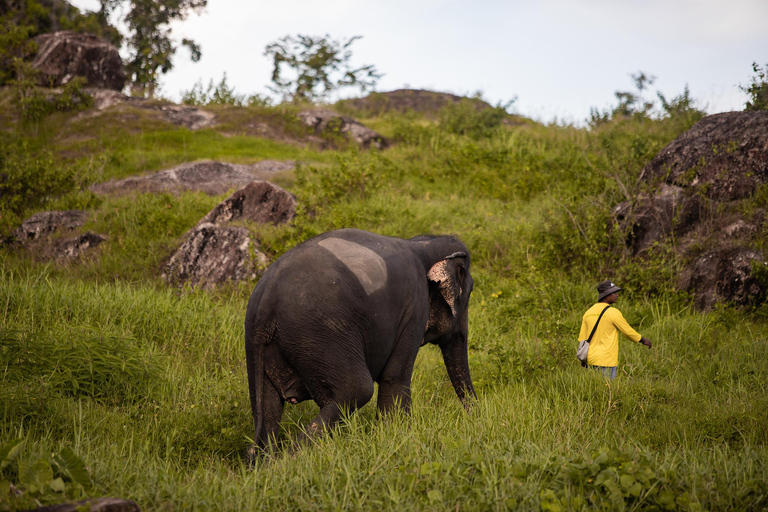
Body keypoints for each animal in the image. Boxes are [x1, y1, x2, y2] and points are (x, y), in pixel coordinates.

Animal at [244, 230, 474, 450]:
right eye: (468, 294)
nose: (472, 416)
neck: (422, 244)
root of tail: (266, 299)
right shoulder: (414, 308)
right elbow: (395, 377)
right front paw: (399, 440)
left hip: (261, 341)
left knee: (267, 408)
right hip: (319, 335)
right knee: (357, 390)